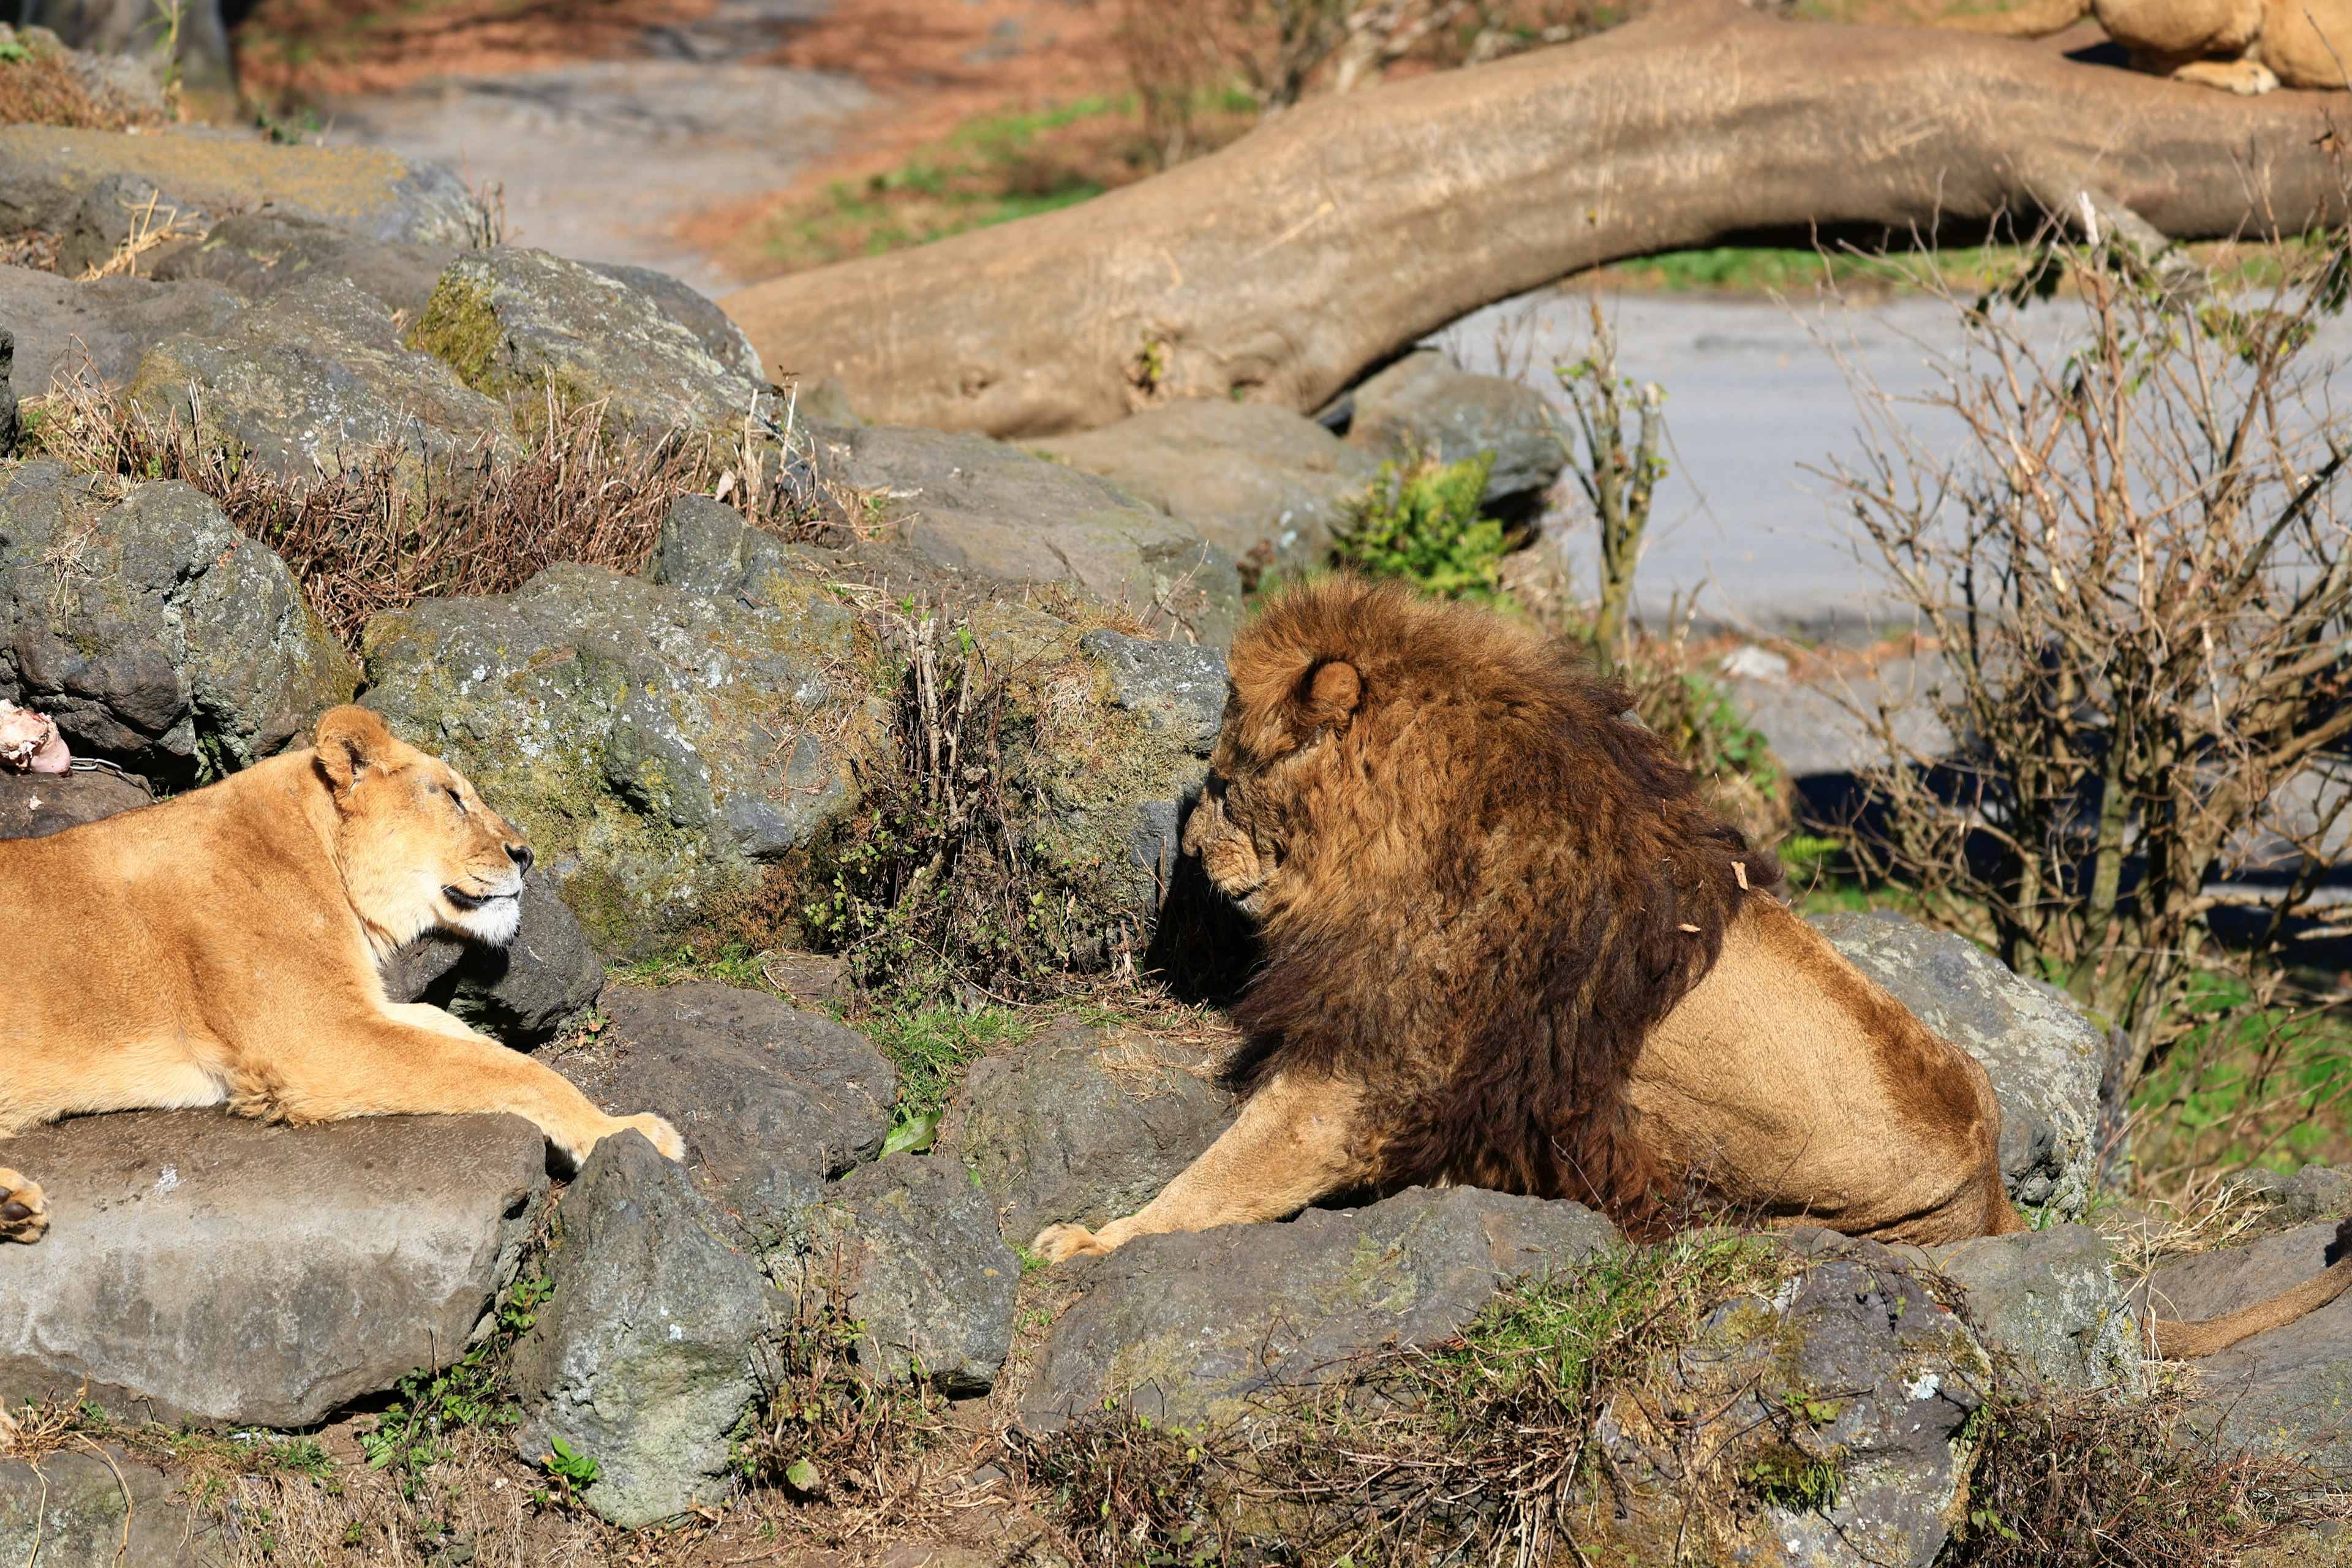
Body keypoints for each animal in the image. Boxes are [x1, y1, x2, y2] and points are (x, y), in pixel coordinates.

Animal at [0, 705, 682, 1241]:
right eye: (452, 795)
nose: (527, 855)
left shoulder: (360, 1008)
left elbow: (462, 1036)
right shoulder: (314, 1041)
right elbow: (509, 1070)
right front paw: (625, 1131)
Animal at [1039, 581, 2352, 1363]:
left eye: (1223, 777)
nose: (1185, 844)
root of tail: (1993, 1205)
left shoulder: (1385, 1061)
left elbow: (1234, 1170)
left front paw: (1095, 1243)